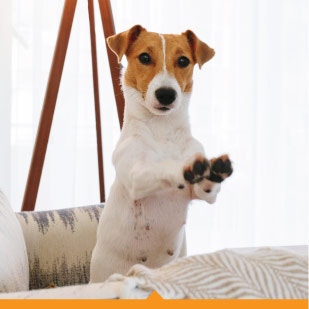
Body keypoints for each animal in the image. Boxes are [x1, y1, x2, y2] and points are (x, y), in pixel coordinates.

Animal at [89, 25, 231, 282]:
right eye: (145, 57)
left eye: (183, 60)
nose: (166, 94)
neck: (162, 129)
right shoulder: (137, 176)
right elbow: (161, 167)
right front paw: (186, 167)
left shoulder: (202, 194)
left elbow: (206, 188)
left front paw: (212, 170)